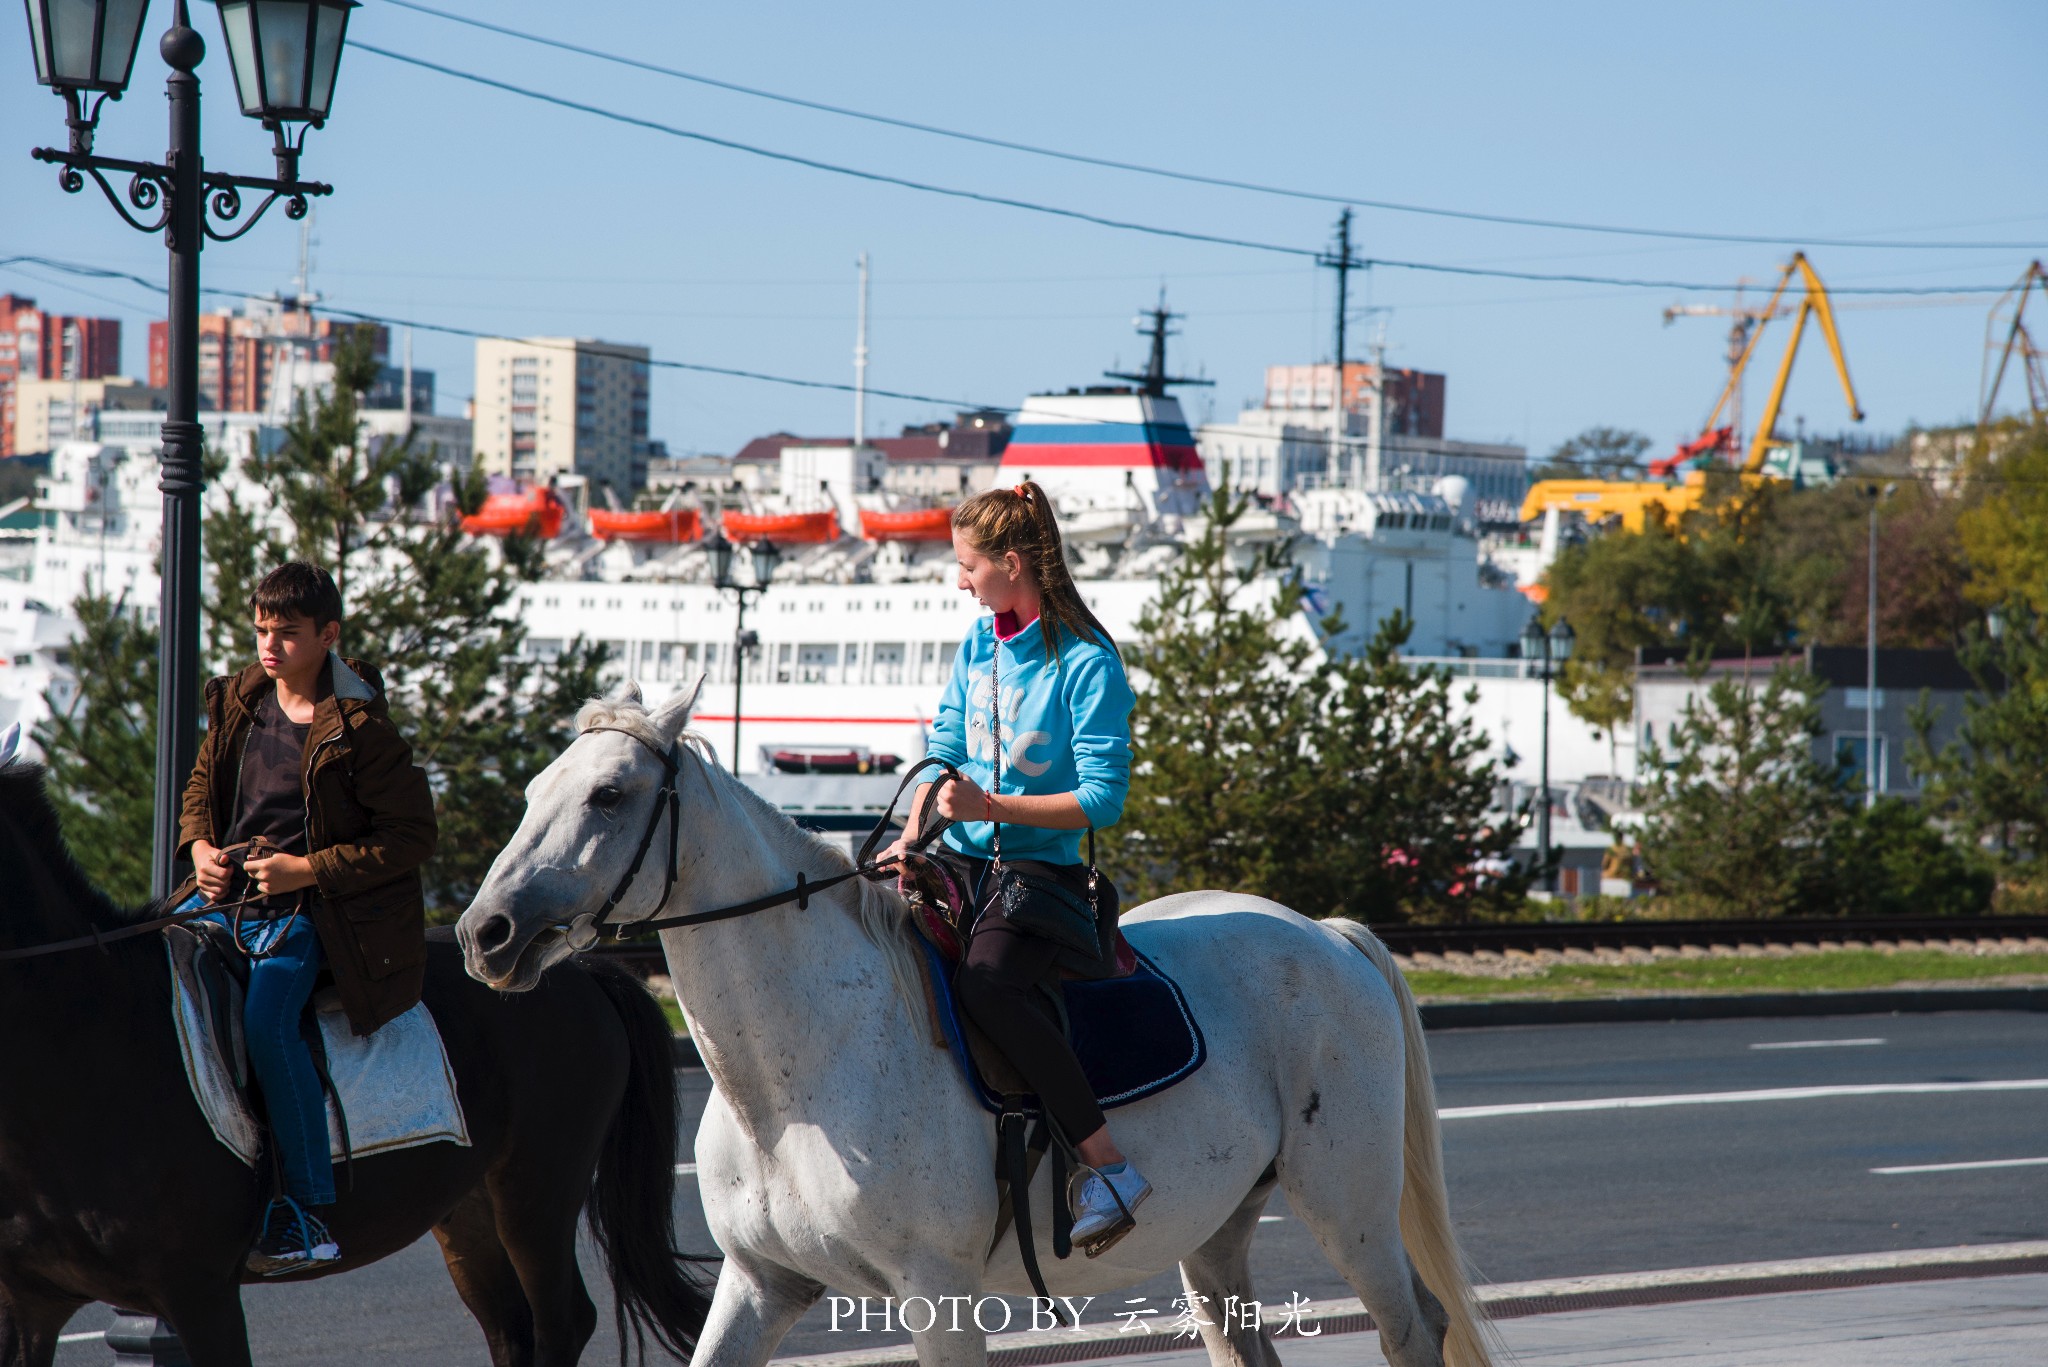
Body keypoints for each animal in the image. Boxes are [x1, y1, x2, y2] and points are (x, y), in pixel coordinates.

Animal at [0, 766, 712, 1360]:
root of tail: (580, 969)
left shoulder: (199, 1295)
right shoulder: (30, 1304)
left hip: (537, 1191)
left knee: (560, 1323)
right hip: (468, 1207)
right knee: (510, 1327)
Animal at [460, 684, 1490, 1367]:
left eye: (609, 795)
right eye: (533, 790)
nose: (486, 933)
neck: (797, 1082)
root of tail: (1326, 931)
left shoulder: (938, 1301)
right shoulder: (761, 1285)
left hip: (1349, 1209)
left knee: (1415, 1326)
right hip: (1218, 1235)